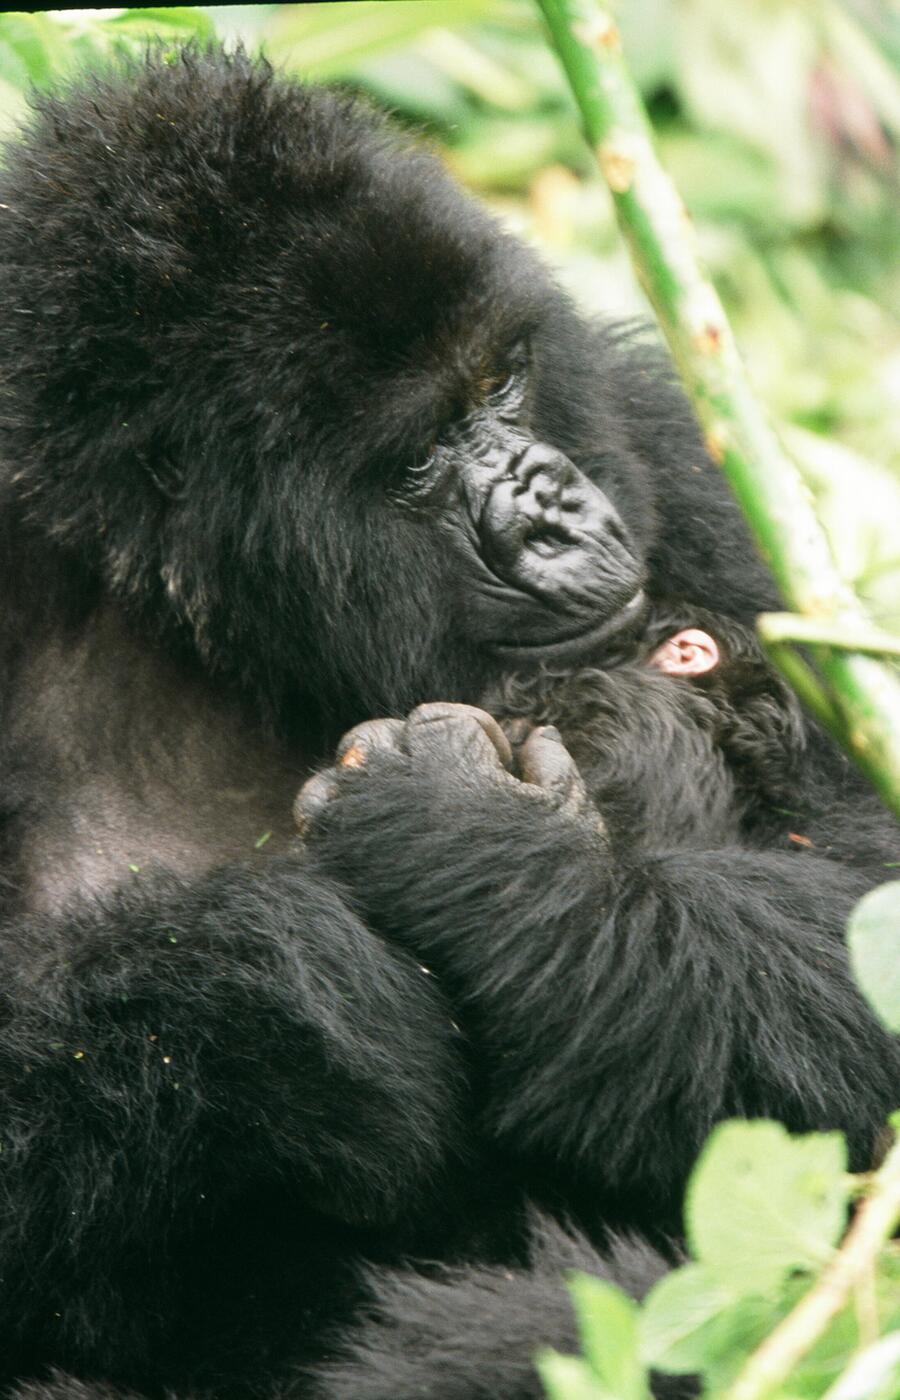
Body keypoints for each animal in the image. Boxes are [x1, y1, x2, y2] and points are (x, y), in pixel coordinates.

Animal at [0, 38, 895, 1400]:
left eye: (503, 385)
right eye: (421, 455)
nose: (557, 514)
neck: (191, 609)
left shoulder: (648, 436)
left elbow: (865, 904)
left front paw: (485, 858)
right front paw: (281, 997)